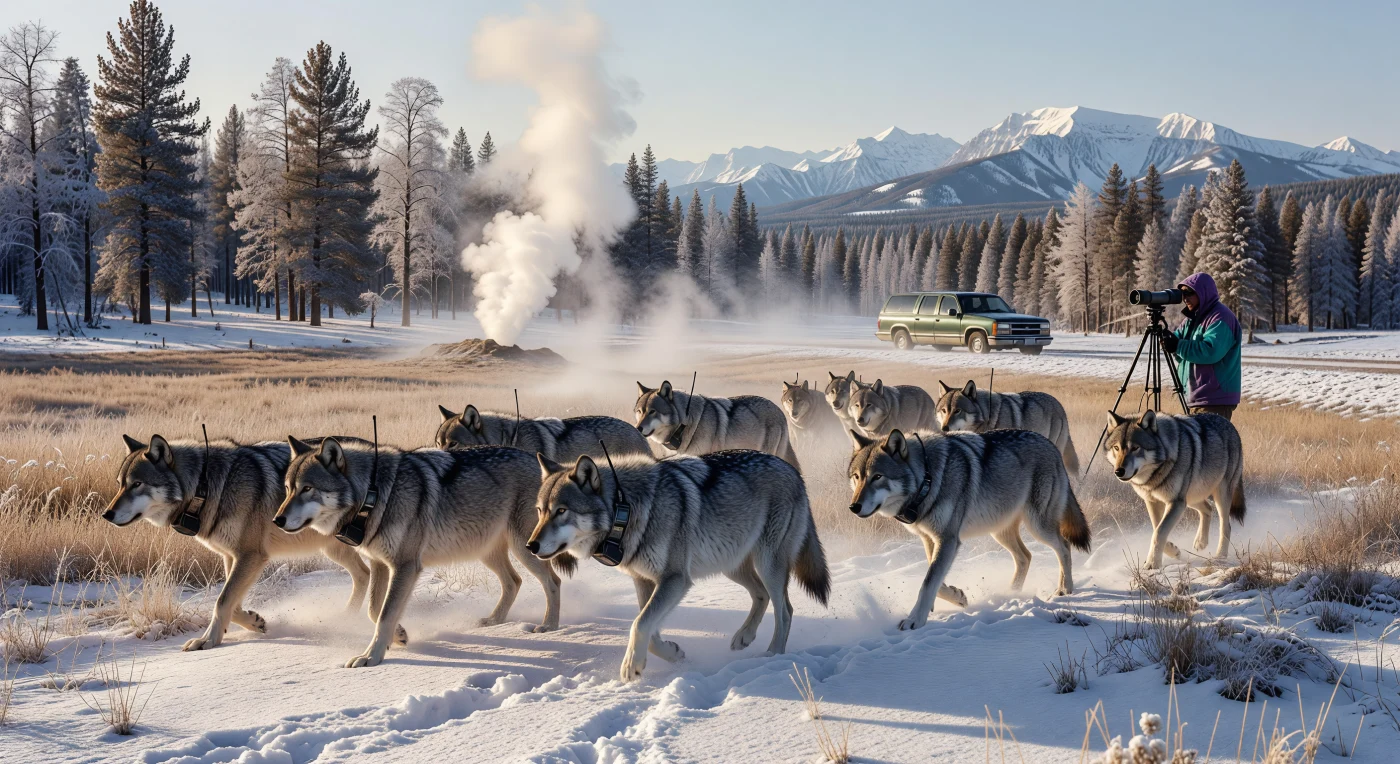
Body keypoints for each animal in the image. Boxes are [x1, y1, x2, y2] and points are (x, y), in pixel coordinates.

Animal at [102, 434, 372, 652]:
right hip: (334, 549)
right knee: (364, 574)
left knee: (365, 573)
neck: (206, 487)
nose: (106, 514)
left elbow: (222, 601)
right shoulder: (232, 556)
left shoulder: (251, 555)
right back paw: (347, 617)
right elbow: (232, 603)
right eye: (120, 484)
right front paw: (254, 622)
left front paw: (207, 641)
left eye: (137, 484)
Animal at [275, 437, 560, 668]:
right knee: (514, 581)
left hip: (525, 548)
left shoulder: (405, 566)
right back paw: (495, 620)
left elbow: (385, 613)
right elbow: (374, 610)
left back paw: (550, 626)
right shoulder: (380, 565)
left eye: (307, 488)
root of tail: (541, 463)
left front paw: (371, 657)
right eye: (288, 489)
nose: (277, 520)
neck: (374, 494)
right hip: (486, 552)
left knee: (553, 581)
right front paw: (399, 635)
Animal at [527, 450, 830, 682]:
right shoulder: (644, 581)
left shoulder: (675, 579)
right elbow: (648, 628)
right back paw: (744, 637)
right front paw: (672, 654)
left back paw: (772, 656)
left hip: (767, 564)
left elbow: (639, 623)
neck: (626, 509)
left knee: (785, 610)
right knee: (762, 595)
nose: (531, 546)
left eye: (561, 511)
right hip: (731, 565)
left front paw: (630, 666)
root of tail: (792, 469)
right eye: (540, 511)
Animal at [848, 428, 1091, 631]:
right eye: (857, 477)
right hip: (1000, 532)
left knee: (1064, 547)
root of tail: (1051, 445)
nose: (853, 507)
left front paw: (914, 620)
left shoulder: (948, 539)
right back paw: (1010, 593)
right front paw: (957, 597)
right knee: (1025, 556)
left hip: (1037, 526)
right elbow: (935, 579)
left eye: (877, 477)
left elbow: (928, 582)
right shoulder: (930, 539)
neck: (928, 479)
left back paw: (1064, 589)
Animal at [1104, 410, 1246, 568]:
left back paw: (1220, 556)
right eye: (1116, 448)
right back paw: (1201, 542)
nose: (1118, 471)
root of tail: (1228, 423)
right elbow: (1156, 528)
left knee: (1226, 526)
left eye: (1135, 448)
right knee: (1208, 509)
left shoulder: (1175, 502)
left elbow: (1159, 532)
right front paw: (1173, 551)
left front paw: (1152, 564)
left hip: (1218, 495)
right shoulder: (1153, 502)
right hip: (1191, 498)